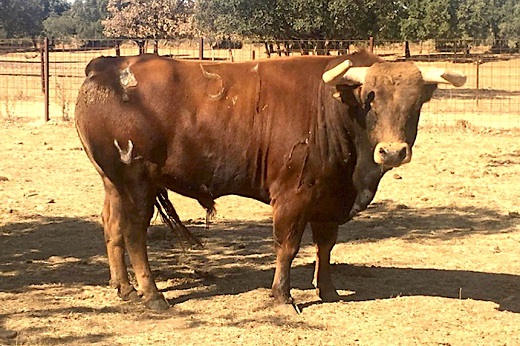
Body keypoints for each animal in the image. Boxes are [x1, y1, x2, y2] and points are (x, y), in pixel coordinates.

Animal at [74, 50, 468, 312]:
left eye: (415, 104)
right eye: (371, 101)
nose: (392, 152)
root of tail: (106, 65)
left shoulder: (329, 198)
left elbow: (325, 246)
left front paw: (328, 291)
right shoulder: (293, 195)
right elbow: (287, 247)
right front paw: (282, 297)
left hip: (112, 182)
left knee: (111, 225)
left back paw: (124, 288)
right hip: (136, 182)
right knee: (134, 233)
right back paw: (152, 295)